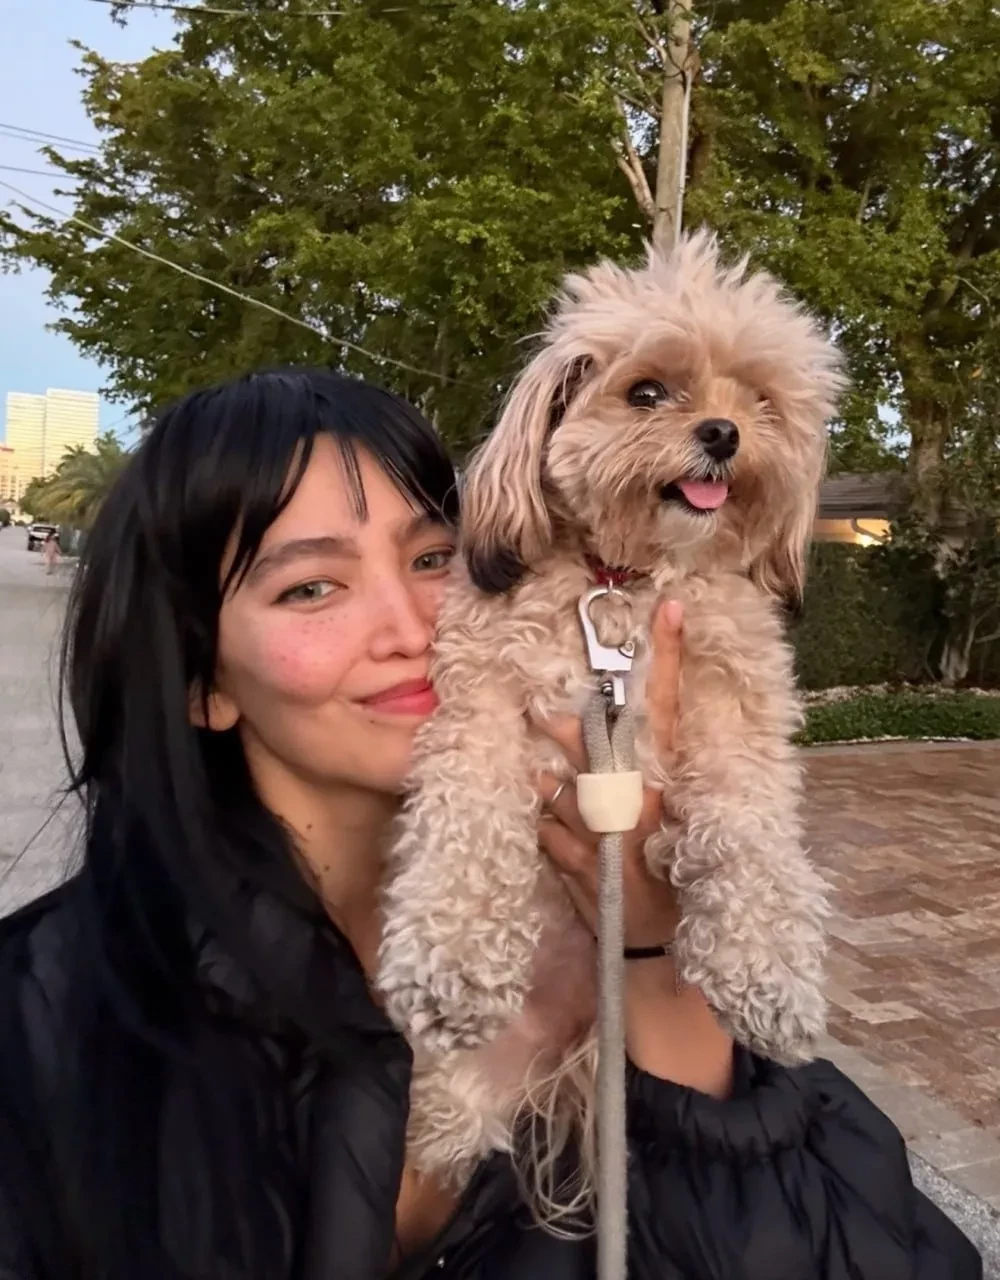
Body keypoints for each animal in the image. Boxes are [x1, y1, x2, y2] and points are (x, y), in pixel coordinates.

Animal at [377, 232, 844, 1187]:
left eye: (760, 400)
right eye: (647, 393)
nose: (723, 432)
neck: (623, 581)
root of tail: (570, 1048)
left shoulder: (738, 703)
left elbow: (751, 830)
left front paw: (768, 970)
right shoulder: (480, 696)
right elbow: (465, 823)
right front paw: (454, 959)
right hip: (461, 1095)